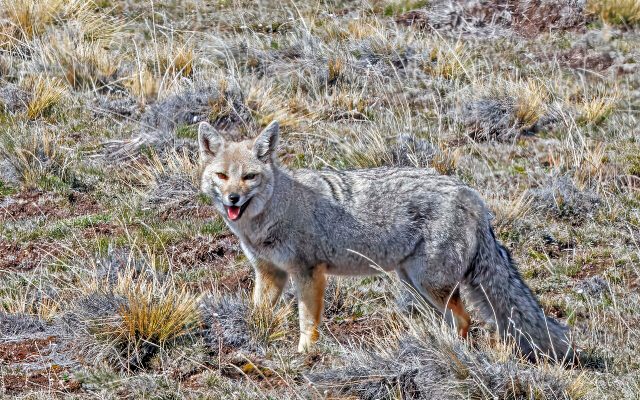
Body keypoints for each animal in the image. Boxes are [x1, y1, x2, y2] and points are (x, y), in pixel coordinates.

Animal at [197, 120, 574, 362]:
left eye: (250, 177)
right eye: (222, 176)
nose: (232, 199)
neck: (272, 213)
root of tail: (470, 194)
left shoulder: (309, 272)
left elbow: (308, 321)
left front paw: (305, 355)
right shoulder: (269, 272)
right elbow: (258, 314)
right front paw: (254, 341)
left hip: (429, 283)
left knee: (465, 320)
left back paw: (454, 352)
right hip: (415, 283)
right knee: (456, 320)